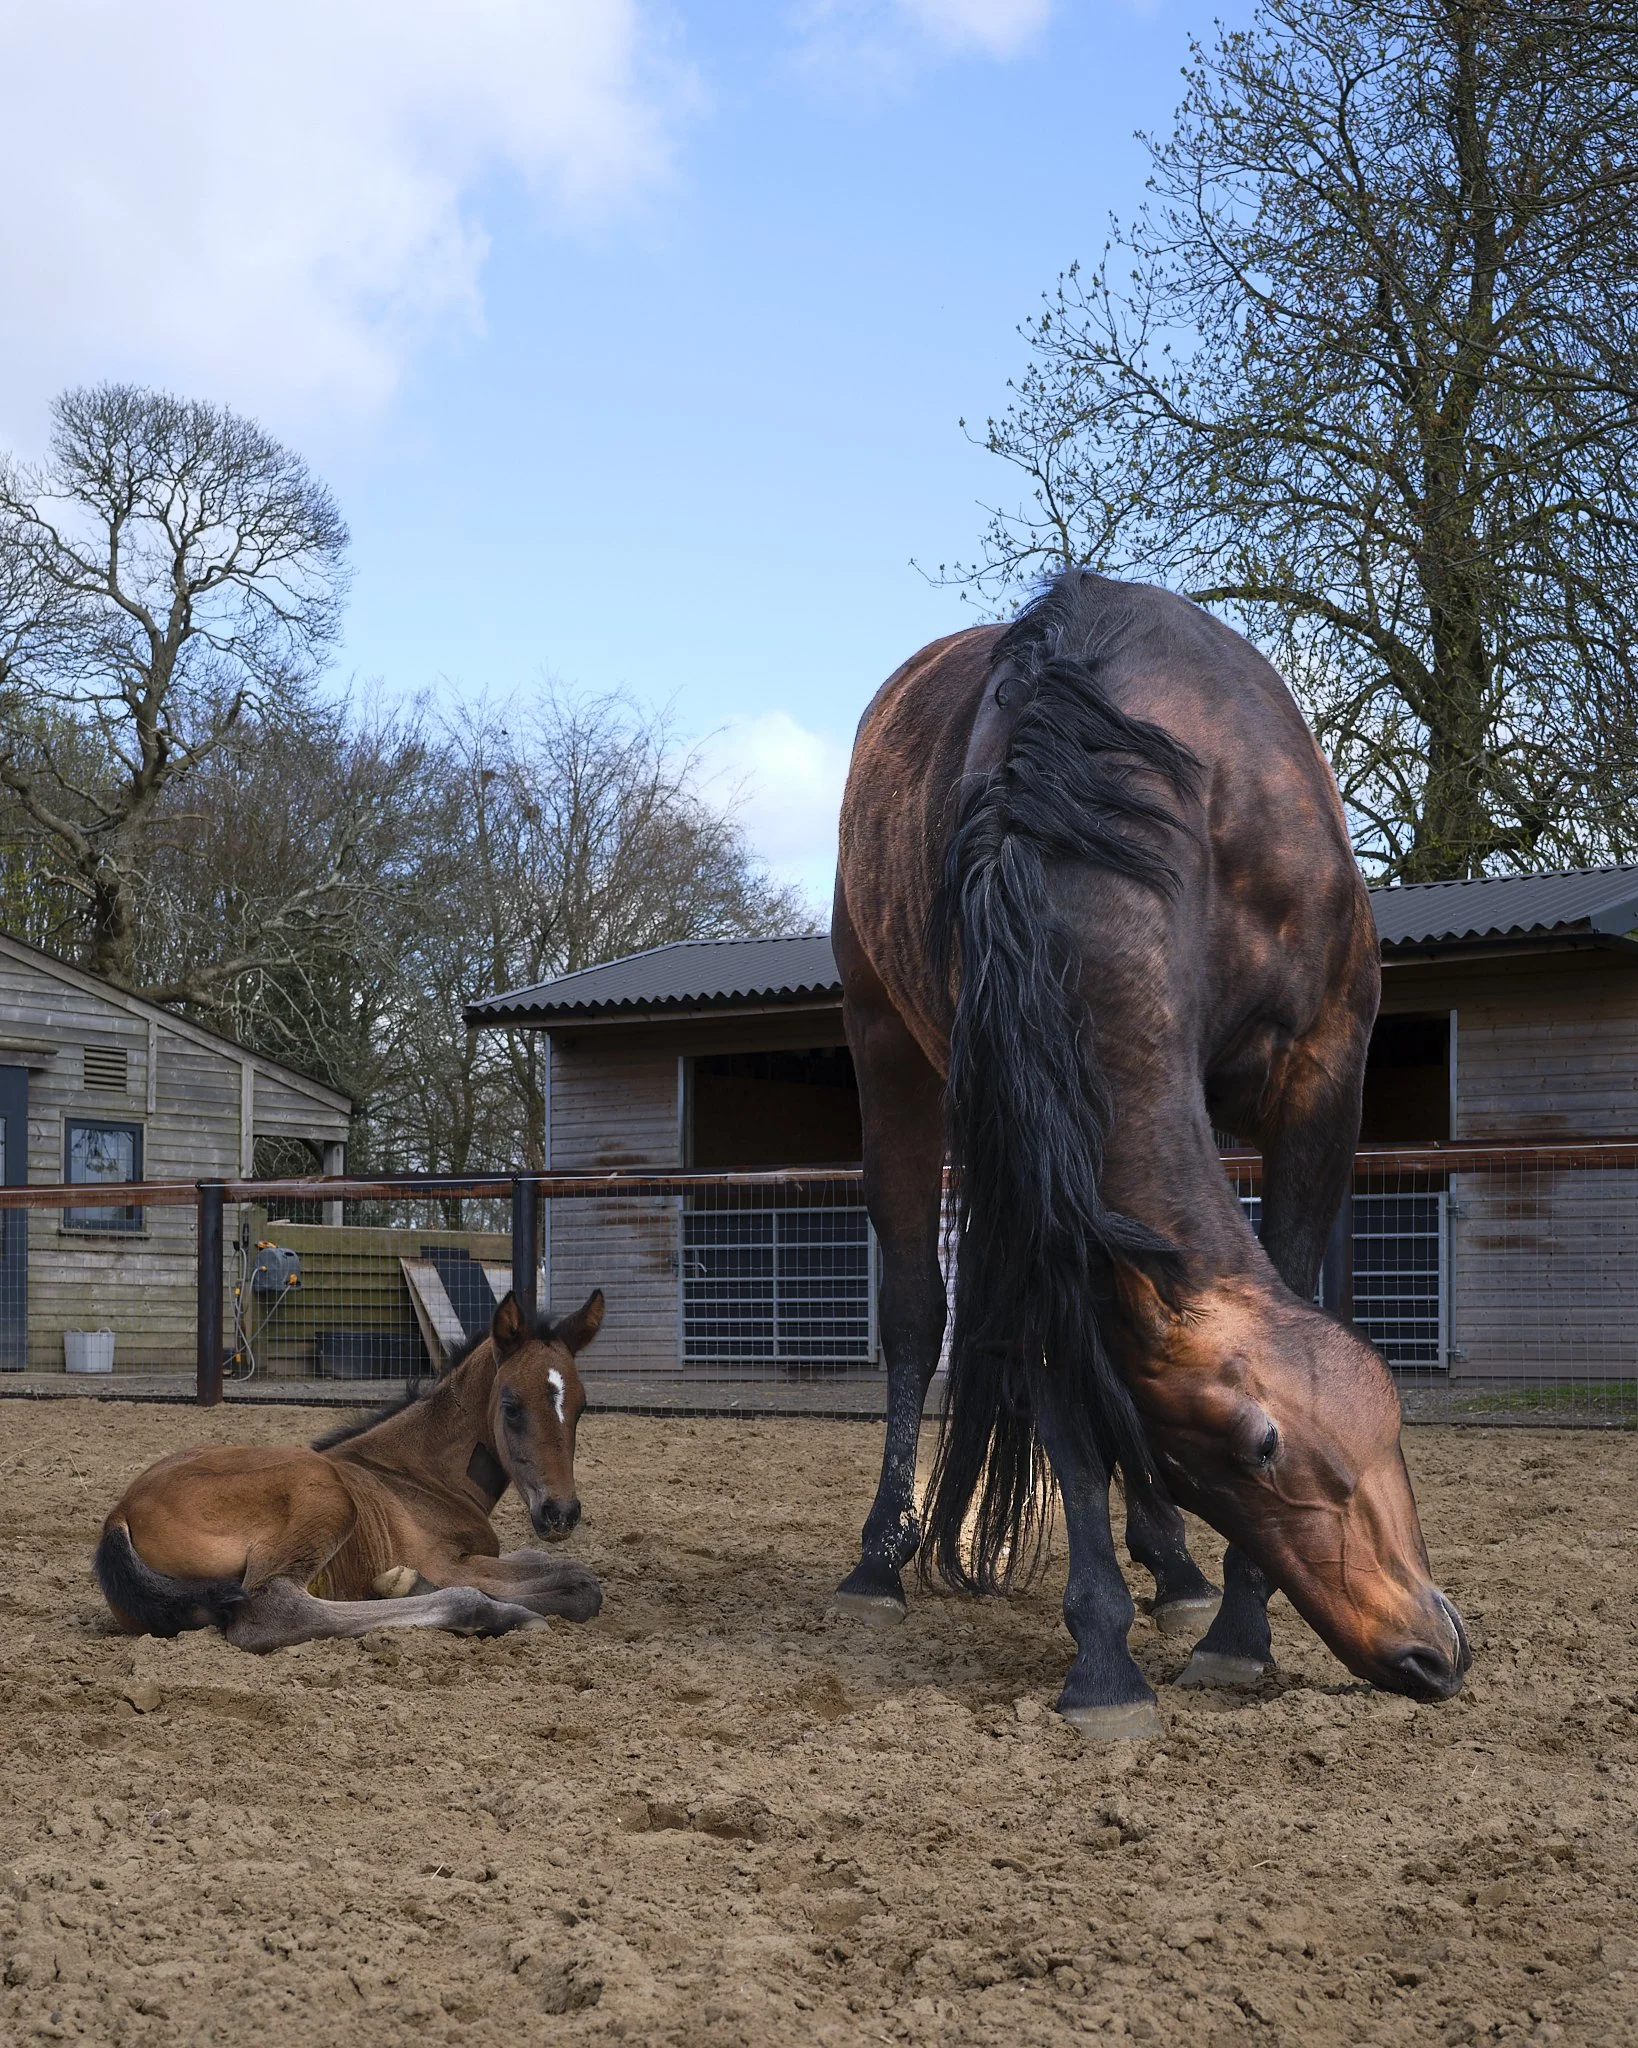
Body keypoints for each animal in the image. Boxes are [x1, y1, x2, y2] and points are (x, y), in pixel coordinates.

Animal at [93, 1290, 606, 1652]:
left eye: (582, 1408)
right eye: (511, 1406)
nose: (560, 1513)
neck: (419, 1475)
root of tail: (120, 1514)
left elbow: (554, 1564)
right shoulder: (448, 1561)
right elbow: (581, 1585)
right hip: (323, 1492)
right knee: (275, 1612)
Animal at [831, 569, 1469, 1737]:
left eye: (1264, 1444)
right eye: (1216, 1461)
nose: (1417, 1656)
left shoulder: (1320, 1080)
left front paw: (1234, 1631)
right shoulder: (1027, 1166)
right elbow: (1058, 1374)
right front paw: (1105, 1661)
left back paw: (1176, 1576)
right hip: (887, 1048)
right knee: (912, 1313)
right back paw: (881, 1562)